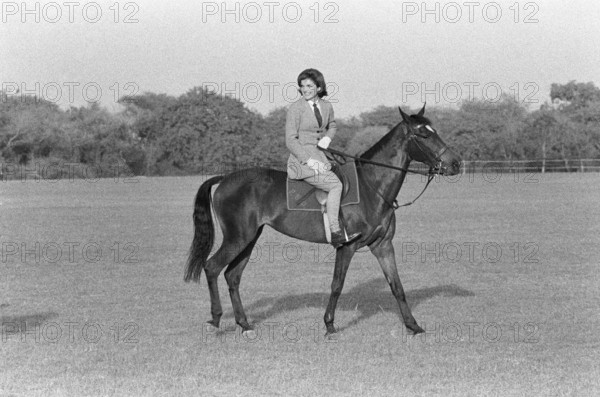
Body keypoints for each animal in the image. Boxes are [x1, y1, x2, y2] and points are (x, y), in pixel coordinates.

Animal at [185, 104, 462, 334]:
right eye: (423, 134)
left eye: (434, 130)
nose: (456, 163)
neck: (372, 186)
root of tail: (224, 178)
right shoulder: (347, 246)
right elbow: (337, 285)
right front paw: (329, 325)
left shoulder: (383, 246)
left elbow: (397, 286)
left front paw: (413, 326)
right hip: (238, 238)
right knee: (212, 267)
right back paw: (215, 319)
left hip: (250, 238)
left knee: (232, 276)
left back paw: (244, 324)